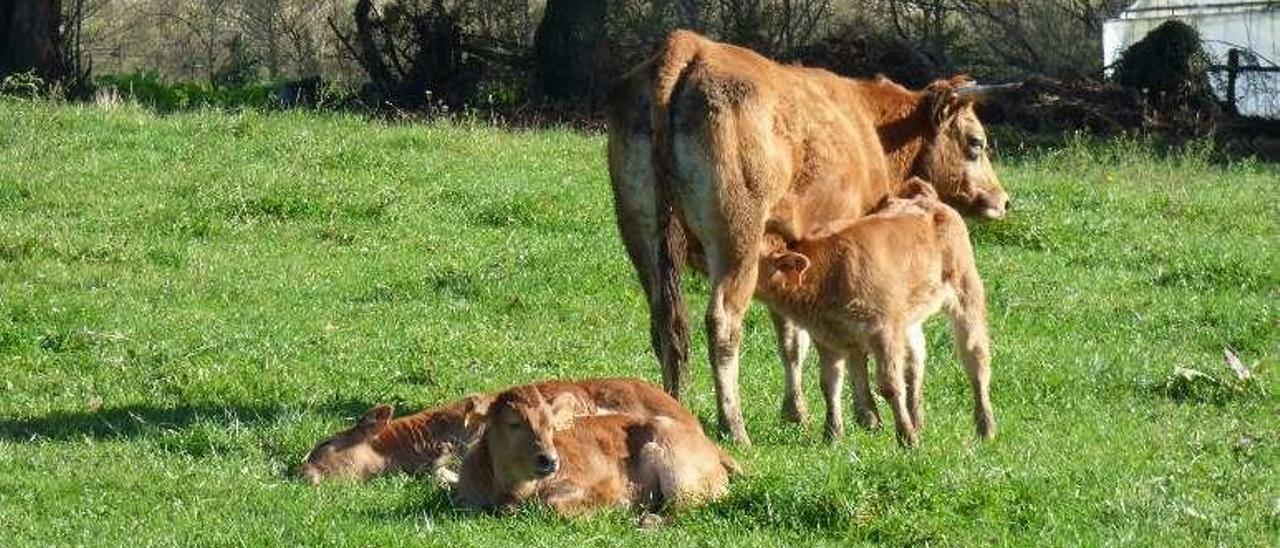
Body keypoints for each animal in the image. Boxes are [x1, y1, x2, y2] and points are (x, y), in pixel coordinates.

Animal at [453, 384, 737, 514]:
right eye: (513, 423)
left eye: (552, 427)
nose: (550, 460)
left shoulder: (602, 482)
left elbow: (554, 504)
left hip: (677, 470)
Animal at [752, 181, 993, 448]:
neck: (828, 272)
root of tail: (926, 199)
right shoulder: (828, 339)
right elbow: (829, 384)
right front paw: (832, 435)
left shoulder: (883, 332)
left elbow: (889, 385)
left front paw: (906, 438)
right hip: (908, 318)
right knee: (916, 360)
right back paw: (916, 420)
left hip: (967, 294)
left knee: (976, 359)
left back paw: (985, 428)